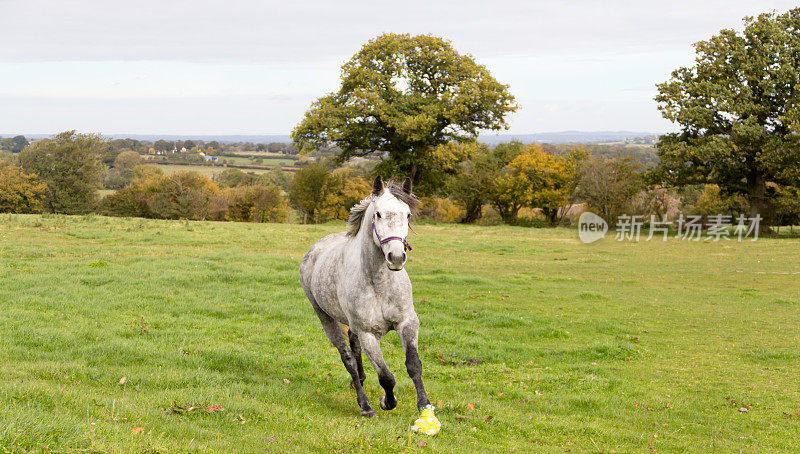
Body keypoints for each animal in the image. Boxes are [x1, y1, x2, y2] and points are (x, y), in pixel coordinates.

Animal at [298, 176, 440, 432]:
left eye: (408, 215)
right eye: (379, 214)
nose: (396, 257)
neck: (380, 283)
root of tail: (315, 249)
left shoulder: (407, 323)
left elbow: (413, 364)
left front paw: (425, 408)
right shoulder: (368, 335)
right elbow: (386, 376)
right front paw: (387, 402)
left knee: (354, 349)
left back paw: (361, 384)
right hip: (325, 317)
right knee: (347, 358)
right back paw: (364, 404)